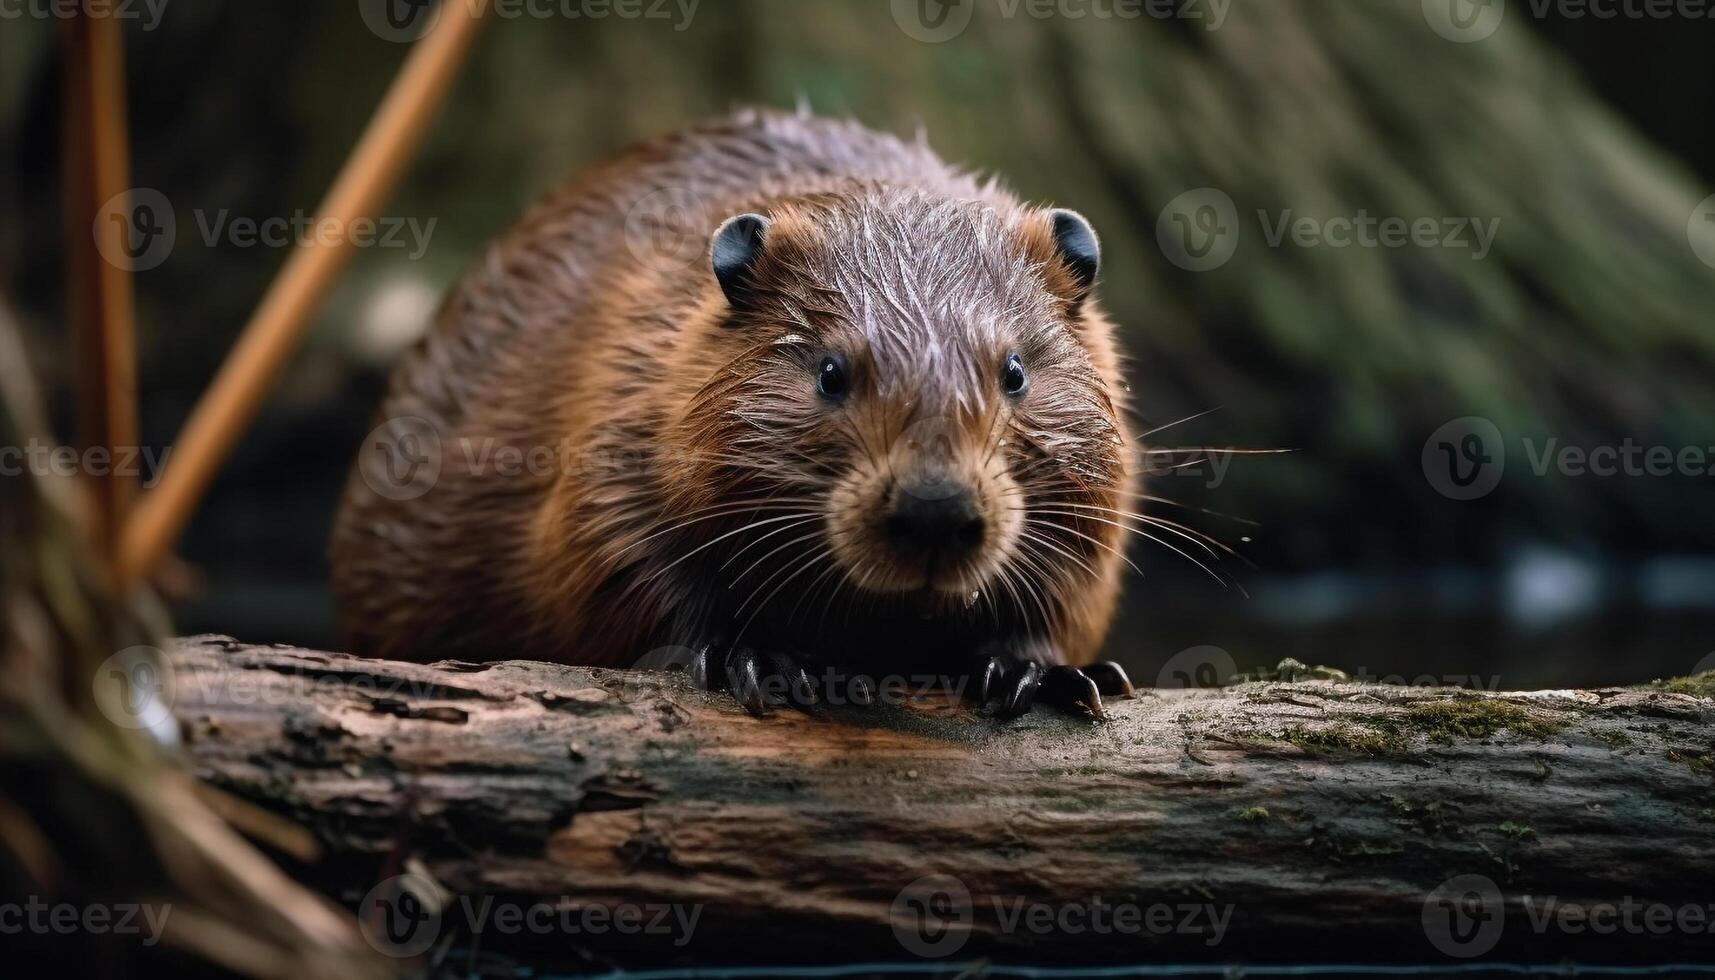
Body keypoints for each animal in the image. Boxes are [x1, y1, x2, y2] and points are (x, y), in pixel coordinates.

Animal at [330, 109, 1138, 720]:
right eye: (830, 372)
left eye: (1014, 371)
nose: (934, 511)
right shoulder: (624, 388)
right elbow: (608, 561)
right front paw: (762, 657)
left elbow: (1072, 583)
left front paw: (1044, 672)